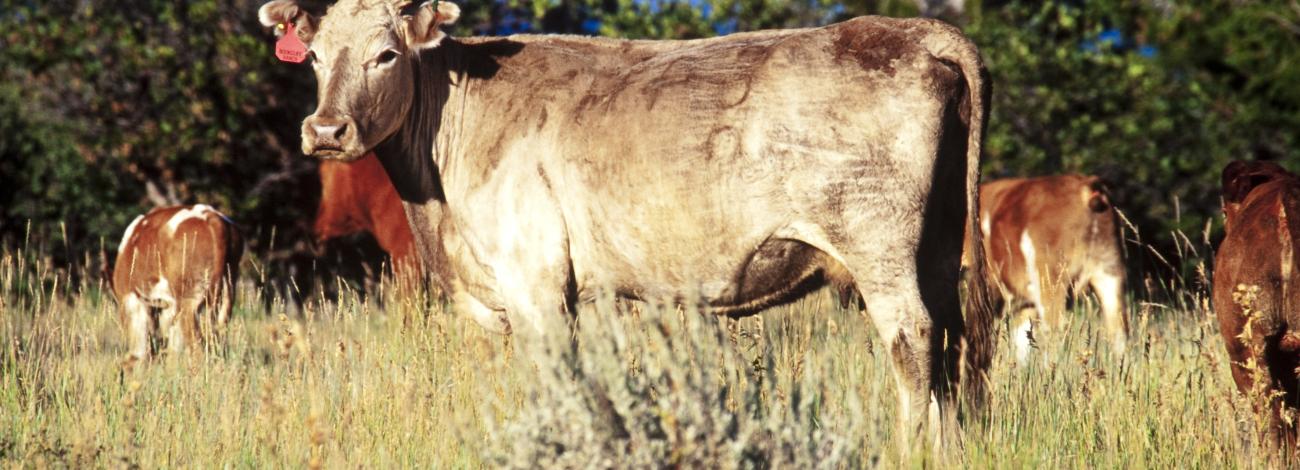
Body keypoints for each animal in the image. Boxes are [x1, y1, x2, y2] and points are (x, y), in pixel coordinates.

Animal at [112, 204, 243, 362]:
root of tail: (212, 217)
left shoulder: (132, 300)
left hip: (190, 302)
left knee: (197, 350)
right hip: (227, 294)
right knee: (219, 343)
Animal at [258, 0, 996, 447]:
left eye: (385, 55)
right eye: (316, 56)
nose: (326, 130)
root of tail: (903, 28)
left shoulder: (534, 282)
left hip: (877, 243)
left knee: (912, 338)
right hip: (938, 242)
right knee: (953, 341)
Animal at [964, 174, 1128, 361]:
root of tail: (1087, 190)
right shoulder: (1025, 303)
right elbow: (1022, 346)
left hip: (1052, 283)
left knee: (1056, 333)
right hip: (1110, 273)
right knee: (1120, 333)